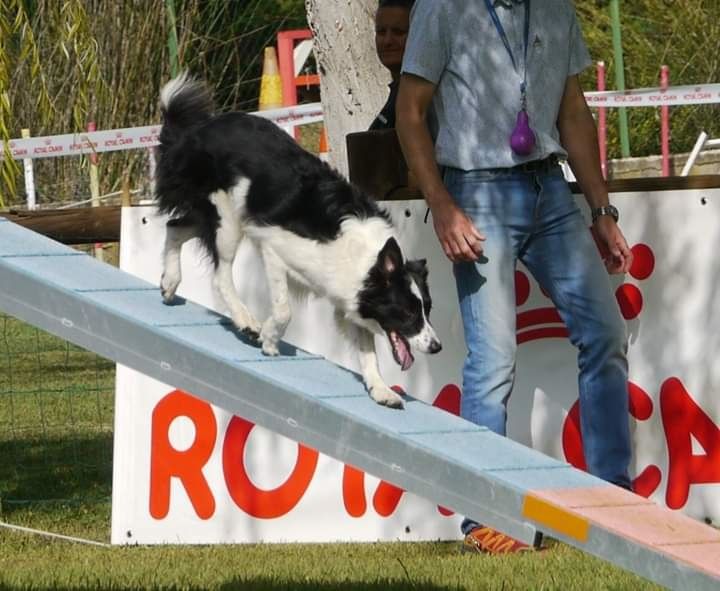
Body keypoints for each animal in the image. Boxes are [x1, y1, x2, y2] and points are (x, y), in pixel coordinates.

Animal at [155, 73, 442, 408]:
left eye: (428, 310)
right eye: (408, 313)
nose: (436, 347)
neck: (367, 257)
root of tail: (196, 130)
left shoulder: (349, 294)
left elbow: (368, 350)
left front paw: (380, 389)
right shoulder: (275, 248)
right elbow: (283, 310)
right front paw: (268, 339)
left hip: (215, 214)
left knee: (174, 226)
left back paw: (170, 282)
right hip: (227, 220)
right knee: (220, 274)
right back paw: (245, 320)